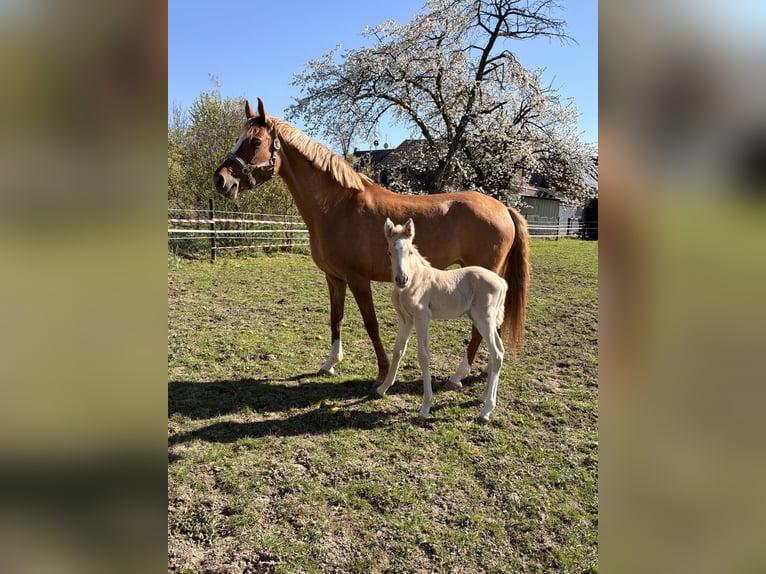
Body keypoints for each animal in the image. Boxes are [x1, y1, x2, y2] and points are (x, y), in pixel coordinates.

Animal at [213, 98, 529, 388]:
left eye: (255, 141)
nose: (220, 180)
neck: (337, 206)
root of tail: (504, 208)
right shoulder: (335, 279)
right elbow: (336, 319)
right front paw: (330, 363)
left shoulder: (358, 279)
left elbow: (371, 324)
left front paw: (382, 373)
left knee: (479, 330)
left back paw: (458, 375)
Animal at [375, 218, 508, 422]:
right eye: (389, 251)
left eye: (410, 251)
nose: (401, 279)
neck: (415, 281)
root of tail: (501, 282)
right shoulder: (405, 319)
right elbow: (398, 351)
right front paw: (382, 388)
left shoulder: (422, 317)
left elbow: (423, 356)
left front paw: (425, 408)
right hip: (485, 320)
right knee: (498, 351)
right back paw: (482, 397)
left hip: (484, 319)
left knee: (497, 353)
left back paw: (486, 410)